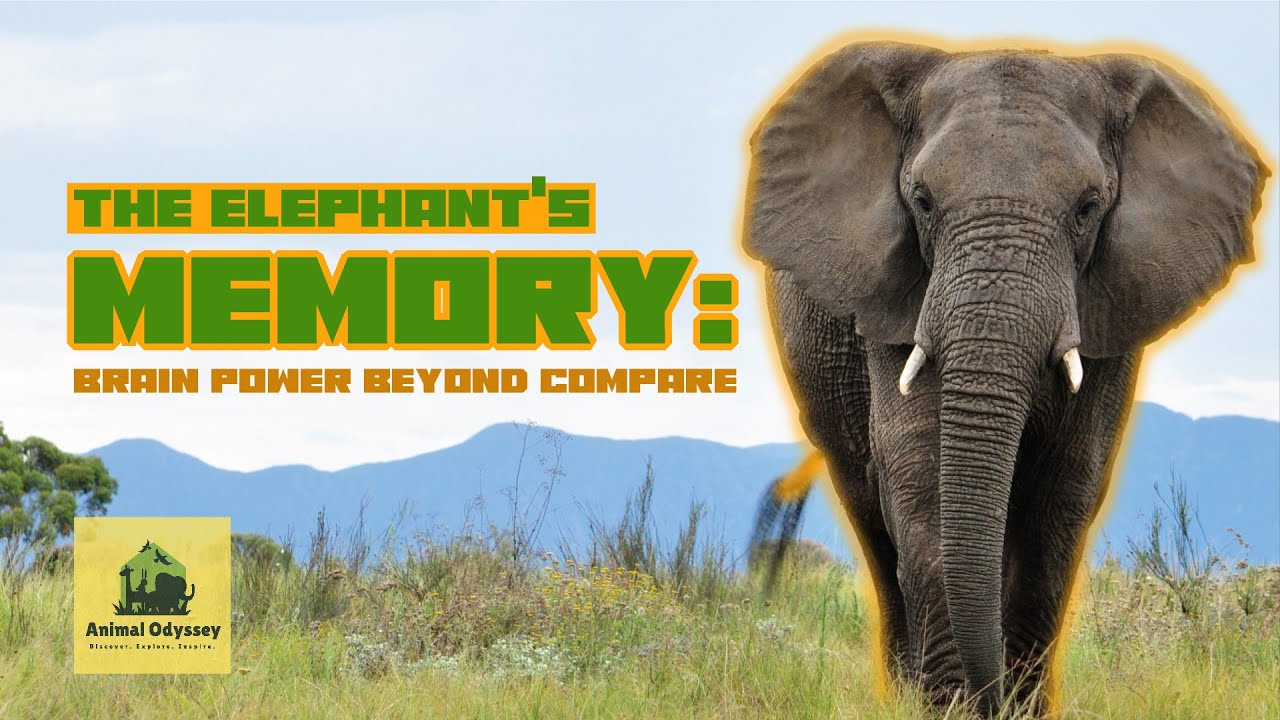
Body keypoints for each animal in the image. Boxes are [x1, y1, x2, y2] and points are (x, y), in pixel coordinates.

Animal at [742, 42, 1268, 715]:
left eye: (1087, 208)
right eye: (922, 201)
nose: (989, 696)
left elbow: (1065, 486)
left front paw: (1018, 708)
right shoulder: (895, 292)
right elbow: (919, 473)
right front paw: (951, 708)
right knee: (871, 520)